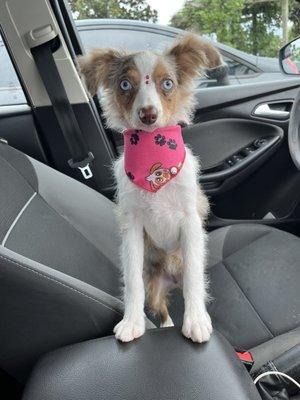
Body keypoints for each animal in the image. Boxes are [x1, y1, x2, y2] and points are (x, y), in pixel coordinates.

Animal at [79, 32, 223, 342]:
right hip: (155, 286)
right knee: (161, 308)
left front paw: (196, 319)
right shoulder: (132, 226)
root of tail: (170, 278)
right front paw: (132, 322)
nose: (148, 115)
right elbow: (132, 280)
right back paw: (164, 325)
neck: (152, 152)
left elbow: (195, 278)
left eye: (167, 83)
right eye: (124, 84)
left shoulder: (190, 221)